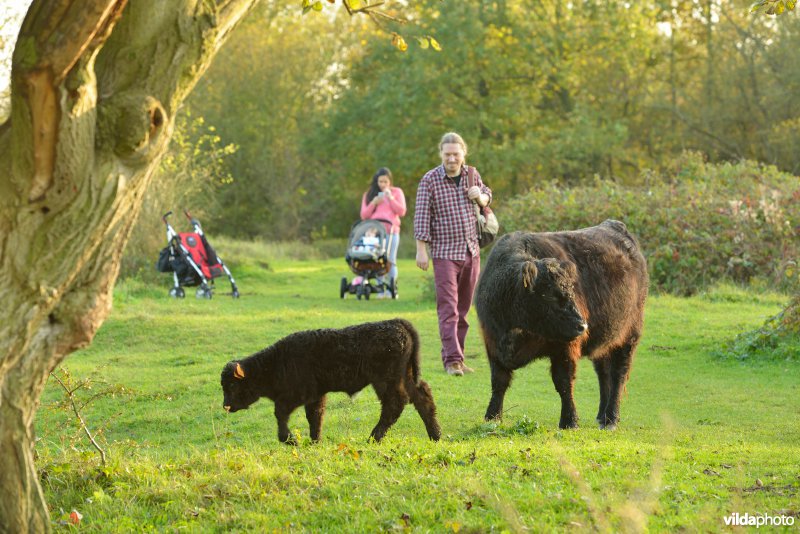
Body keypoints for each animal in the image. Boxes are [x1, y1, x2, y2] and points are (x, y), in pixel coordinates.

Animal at [222, 320, 440, 446]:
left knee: (394, 404)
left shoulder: (296, 395)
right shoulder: (316, 395)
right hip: (406, 377)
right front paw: (314, 441)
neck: (276, 361)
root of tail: (397, 323)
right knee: (422, 397)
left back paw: (373, 438)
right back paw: (435, 436)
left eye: (232, 385)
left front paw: (291, 440)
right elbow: (315, 417)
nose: (226, 406)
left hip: (386, 381)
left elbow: (281, 414)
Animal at [476, 222, 648, 432]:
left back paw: (611, 419)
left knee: (618, 375)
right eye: (550, 295)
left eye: (572, 292)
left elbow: (564, 383)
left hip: (628, 336)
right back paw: (601, 416)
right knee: (604, 374)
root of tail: (615, 225)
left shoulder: (564, 348)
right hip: (605, 339)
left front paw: (569, 420)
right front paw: (492, 416)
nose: (582, 326)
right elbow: (499, 382)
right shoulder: (492, 343)